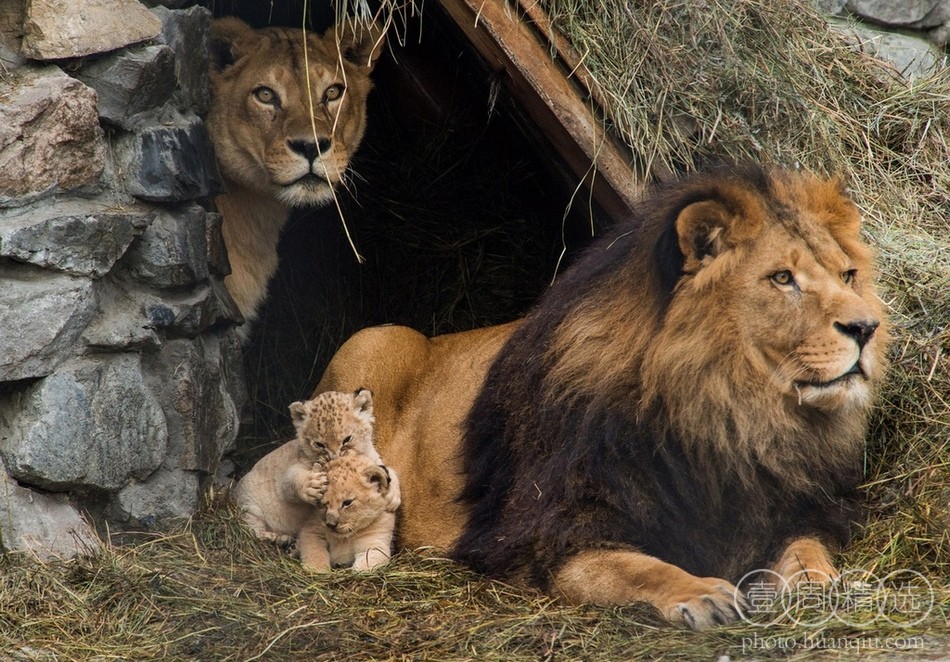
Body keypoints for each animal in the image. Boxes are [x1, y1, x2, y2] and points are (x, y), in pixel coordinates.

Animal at [316, 167, 888, 632]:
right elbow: (640, 568)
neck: (728, 415)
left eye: (847, 275)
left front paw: (819, 584)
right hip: (373, 338)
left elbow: (806, 549)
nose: (866, 328)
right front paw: (700, 593)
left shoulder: (795, 508)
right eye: (782, 278)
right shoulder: (556, 536)